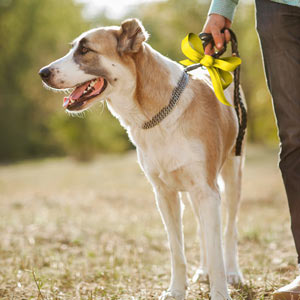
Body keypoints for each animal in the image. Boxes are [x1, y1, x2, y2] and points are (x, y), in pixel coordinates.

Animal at [39, 19, 246, 300]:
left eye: (85, 50)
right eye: (73, 48)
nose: (43, 73)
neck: (158, 114)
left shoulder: (207, 190)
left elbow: (217, 252)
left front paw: (220, 292)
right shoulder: (165, 195)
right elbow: (177, 250)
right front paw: (176, 290)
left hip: (231, 175)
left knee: (229, 229)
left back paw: (233, 272)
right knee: (204, 232)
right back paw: (202, 271)